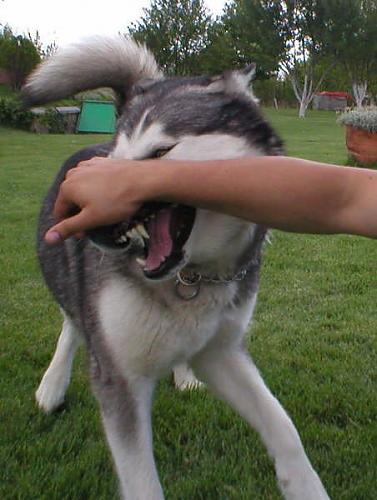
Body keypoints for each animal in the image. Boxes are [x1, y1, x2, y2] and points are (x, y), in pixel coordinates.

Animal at [23, 36, 328, 500]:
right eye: (115, 158)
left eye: (162, 152)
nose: (82, 216)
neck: (193, 274)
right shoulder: (120, 379)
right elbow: (142, 482)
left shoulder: (223, 351)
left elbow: (283, 426)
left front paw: (306, 487)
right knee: (72, 323)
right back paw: (53, 384)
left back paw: (182, 373)